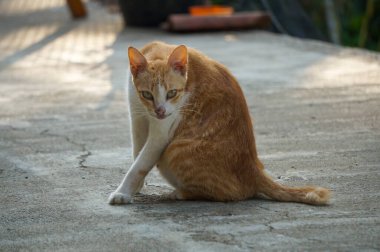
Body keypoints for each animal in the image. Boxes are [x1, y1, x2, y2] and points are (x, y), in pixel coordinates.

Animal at [107, 39, 330, 205]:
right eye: (147, 94)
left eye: (172, 93)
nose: (160, 111)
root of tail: (254, 169)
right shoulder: (137, 117)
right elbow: (137, 153)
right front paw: (135, 187)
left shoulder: (163, 131)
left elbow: (140, 164)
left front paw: (123, 192)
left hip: (174, 150)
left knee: (231, 193)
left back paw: (179, 193)